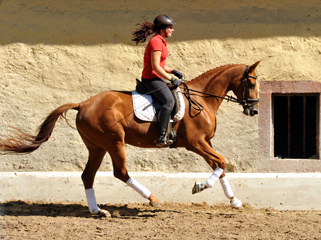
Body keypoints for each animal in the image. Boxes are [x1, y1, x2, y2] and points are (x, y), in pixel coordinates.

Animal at [0, 61, 258, 217]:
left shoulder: (206, 143)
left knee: (88, 176)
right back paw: (152, 199)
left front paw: (234, 200)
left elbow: (219, 165)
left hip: (97, 146)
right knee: (120, 172)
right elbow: (221, 162)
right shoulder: (196, 143)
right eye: (252, 82)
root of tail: (83, 103)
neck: (202, 99)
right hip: (114, 141)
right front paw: (200, 186)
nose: (254, 110)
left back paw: (97, 211)